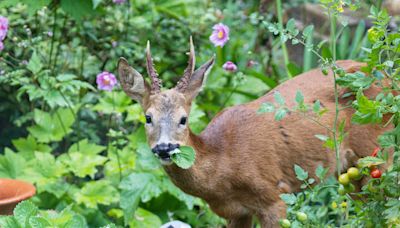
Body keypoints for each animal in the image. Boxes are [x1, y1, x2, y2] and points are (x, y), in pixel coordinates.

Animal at [117, 38, 390, 227]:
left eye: (183, 119)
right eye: (148, 117)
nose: (165, 148)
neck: (224, 164)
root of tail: (385, 75)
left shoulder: (275, 197)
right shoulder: (234, 212)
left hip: (378, 151)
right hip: (350, 172)